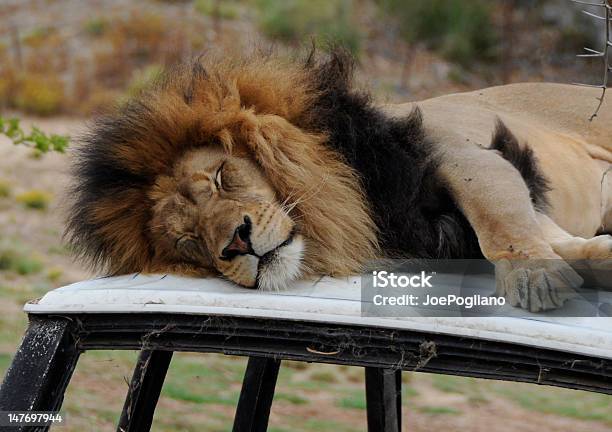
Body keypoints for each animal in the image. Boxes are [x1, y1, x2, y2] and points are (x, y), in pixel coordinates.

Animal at [64, 50, 608, 312]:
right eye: (187, 241)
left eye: (220, 178)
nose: (236, 244)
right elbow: (550, 236)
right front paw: (589, 259)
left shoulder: (456, 152)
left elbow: (498, 220)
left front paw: (532, 277)